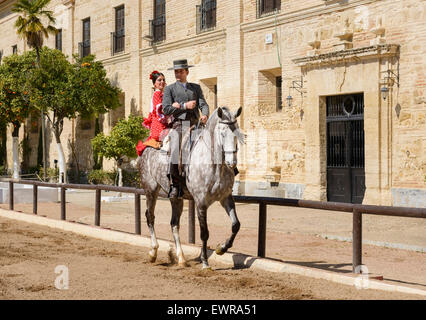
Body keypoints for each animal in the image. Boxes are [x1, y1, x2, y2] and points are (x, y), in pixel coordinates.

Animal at [138, 106, 245, 268]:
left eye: (237, 133)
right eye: (222, 132)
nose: (232, 162)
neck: (215, 166)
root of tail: (148, 146)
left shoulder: (226, 198)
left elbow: (235, 225)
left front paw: (222, 248)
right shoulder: (201, 203)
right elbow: (204, 233)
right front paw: (205, 262)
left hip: (176, 198)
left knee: (174, 224)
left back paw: (181, 257)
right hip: (150, 190)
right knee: (150, 217)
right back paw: (153, 252)